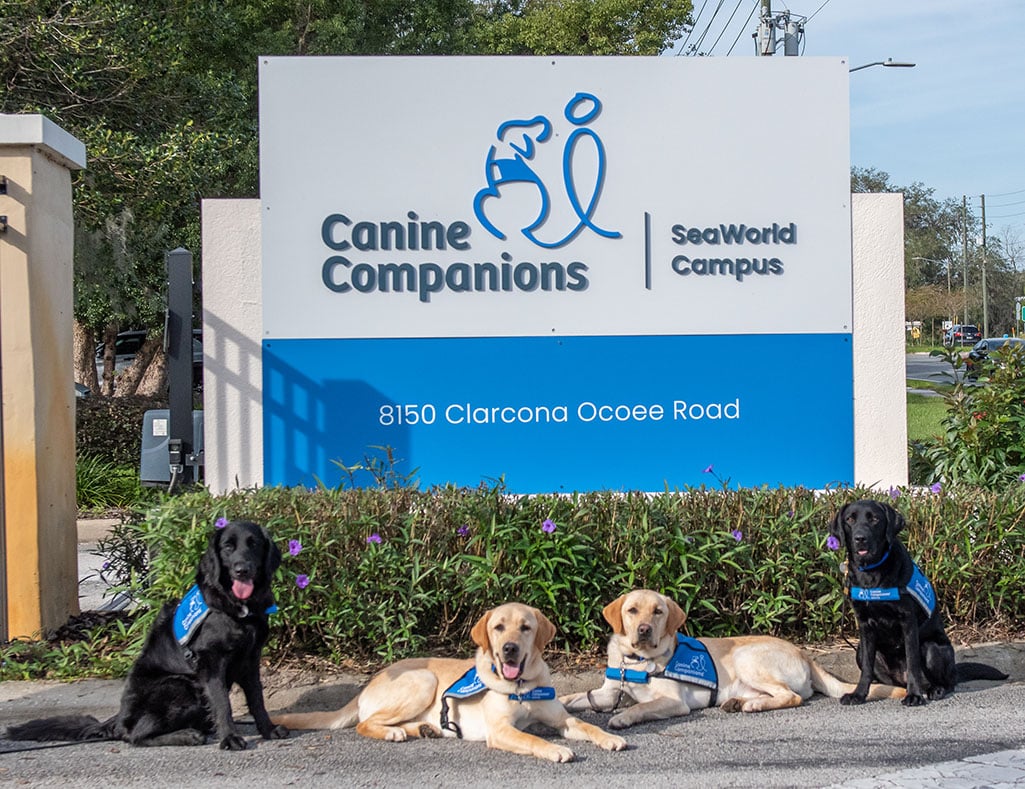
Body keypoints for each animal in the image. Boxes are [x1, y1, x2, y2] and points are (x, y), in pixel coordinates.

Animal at [8, 520, 289, 745]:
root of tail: (118, 720)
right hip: (179, 685)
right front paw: (230, 738)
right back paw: (186, 735)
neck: (237, 608)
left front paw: (268, 730)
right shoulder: (210, 663)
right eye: (228, 547)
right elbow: (223, 704)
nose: (242, 569)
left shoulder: (249, 660)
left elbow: (257, 700)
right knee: (134, 736)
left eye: (254, 544)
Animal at [828, 497, 1004, 704]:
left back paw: (934, 690)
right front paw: (858, 694)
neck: (872, 573)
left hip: (932, 649)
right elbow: (867, 669)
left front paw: (914, 695)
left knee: (945, 681)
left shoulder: (908, 621)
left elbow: (912, 662)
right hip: (859, 651)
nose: (860, 538)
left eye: (874, 519)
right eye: (850, 519)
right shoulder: (864, 624)